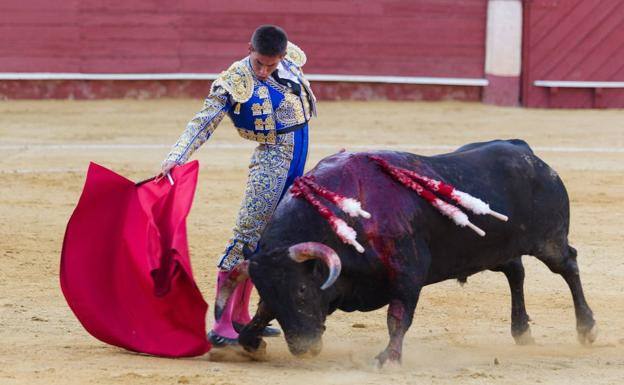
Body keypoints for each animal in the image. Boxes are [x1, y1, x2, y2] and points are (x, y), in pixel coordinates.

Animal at [233, 140, 596, 364]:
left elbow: (398, 317)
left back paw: (586, 328)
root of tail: (526, 152)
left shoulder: (407, 272)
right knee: (515, 272)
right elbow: (259, 315)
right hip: (497, 249)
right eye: (267, 292)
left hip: (549, 241)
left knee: (569, 266)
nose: (302, 348)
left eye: (302, 290)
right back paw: (522, 332)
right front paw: (252, 340)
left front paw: (388, 358)